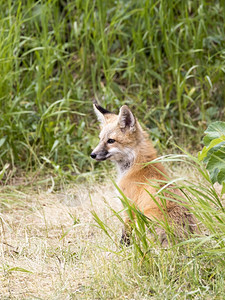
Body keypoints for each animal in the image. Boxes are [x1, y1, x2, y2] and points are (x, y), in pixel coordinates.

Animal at [90, 102, 198, 245]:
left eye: (111, 141)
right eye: (100, 139)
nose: (92, 154)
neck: (136, 165)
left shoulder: (128, 207)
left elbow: (125, 234)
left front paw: (122, 248)